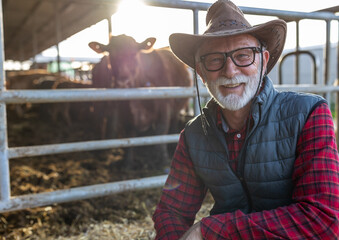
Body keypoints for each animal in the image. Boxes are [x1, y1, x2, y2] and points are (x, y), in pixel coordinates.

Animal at [89, 34, 193, 168]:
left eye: (134, 53)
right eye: (110, 53)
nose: (123, 82)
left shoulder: (165, 105)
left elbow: (161, 131)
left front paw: (164, 160)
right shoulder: (125, 110)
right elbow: (129, 132)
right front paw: (127, 162)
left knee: (174, 120)